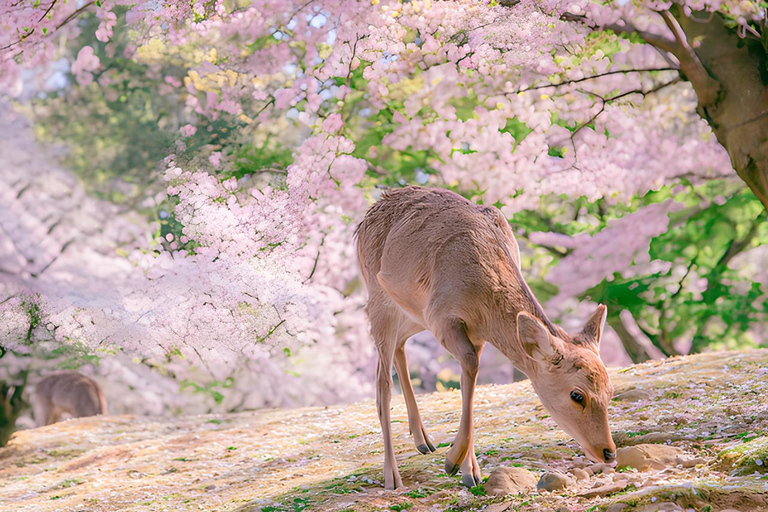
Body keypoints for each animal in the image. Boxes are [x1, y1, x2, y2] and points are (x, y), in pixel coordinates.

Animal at [355, 186, 616, 490]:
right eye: (577, 395)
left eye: (610, 391)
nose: (608, 452)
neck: (482, 301)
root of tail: (366, 216)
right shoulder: (442, 318)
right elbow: (470, 365)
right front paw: (453, 462)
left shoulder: (475, 333)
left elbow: (469, 380)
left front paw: (469, 470)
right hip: (379, 298)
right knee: (382, 380)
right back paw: (393, 477)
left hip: (411, 313)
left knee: (398, 346)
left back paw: (423, 440)